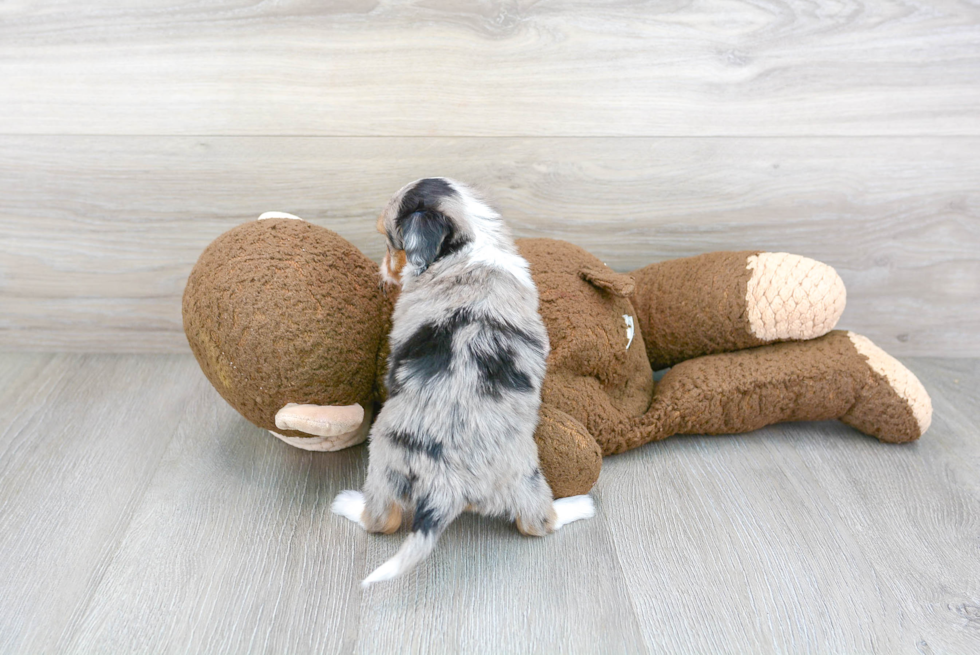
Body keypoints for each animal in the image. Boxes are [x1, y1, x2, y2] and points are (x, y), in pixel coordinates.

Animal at [334, 177, 592, 588]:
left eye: (392, 242)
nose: (382, 273)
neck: (468, 242)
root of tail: (446, 485)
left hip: (384, 465)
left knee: (384, 521)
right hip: (523, 477)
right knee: (536, 523)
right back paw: (577, 506)